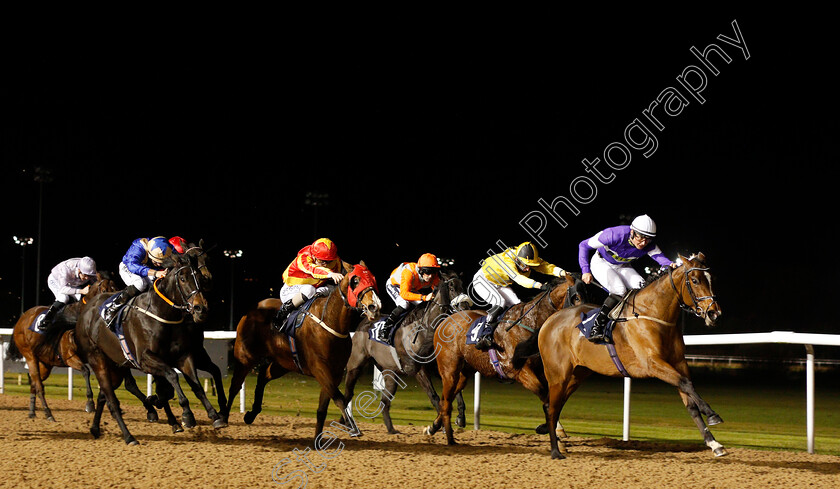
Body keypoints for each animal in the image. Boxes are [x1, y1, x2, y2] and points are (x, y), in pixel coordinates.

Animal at [74, 248, 215, 442]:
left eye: (199, 278)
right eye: (183, 278)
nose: (201, 308)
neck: (160, 312)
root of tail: (85, 311)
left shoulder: (182, 356)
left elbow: (195, 385)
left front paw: (214, 415)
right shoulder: (145, 359)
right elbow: (172, 376)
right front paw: (186, 415)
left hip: (115, 366)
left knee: (104, 395)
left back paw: (96, 428)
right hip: (98, 360)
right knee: (111, 399)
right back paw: (129, 436)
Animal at [223, 262, 380, 440]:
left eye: (373, 279)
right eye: (355, 281)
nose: (374, 307)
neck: (330, 323)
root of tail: (252, 310)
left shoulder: (336, 372)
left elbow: (323, 409)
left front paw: (318, 439)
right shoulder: (320, 368)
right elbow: (339, 398)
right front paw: (351, 426)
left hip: (282, 363)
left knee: (263, 376)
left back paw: (251, 414)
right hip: (245, 357)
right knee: (235, 385)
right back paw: (222, 419)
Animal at [342, 268, 472, 432]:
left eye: (463, 285)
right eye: (452, 287)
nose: (466, 307)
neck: (425, 331)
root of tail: (365, 321)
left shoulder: (437, 367)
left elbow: (453, 391)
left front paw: (460, 418)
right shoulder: (418, 370)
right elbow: (434, 397)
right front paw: (436, 426)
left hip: (389, 373)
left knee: (384, 401)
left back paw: (391, 430)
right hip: (355, 366)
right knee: (347, 394)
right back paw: (348, 424)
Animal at [420, 272, 584, 444]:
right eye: (576, 297)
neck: (529, 323)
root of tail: (445, 320)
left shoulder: (542, 371)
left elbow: (553, 398)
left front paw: (554, 429)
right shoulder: (520, 372)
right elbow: (544, 395)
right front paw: (546, 427)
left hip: (466, 370)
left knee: (448, 397)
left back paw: (434, 427)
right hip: (449, 369)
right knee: (446, 398)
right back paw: (448, 437)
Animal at [516, 254, 724, 460]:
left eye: (712, 279)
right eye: (695, 280)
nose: (714, 313)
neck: (653, 314)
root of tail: (549, 321)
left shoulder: (678, 363)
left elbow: (690, 401)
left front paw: (714, 443)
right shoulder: (653, 364)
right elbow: (686, 384)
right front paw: (713, 414)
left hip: (577, 375)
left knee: (554, 405)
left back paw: (553, 437)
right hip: (557, 375)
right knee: (552, 408)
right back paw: (555, 450)